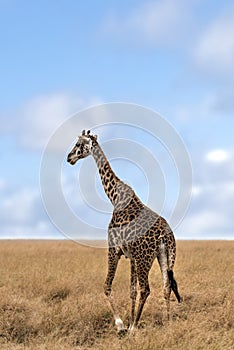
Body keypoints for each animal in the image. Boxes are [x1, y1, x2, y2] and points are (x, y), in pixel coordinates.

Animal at [67, 130, 181, 334]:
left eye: (79, 143)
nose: (69, 157)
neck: (114, 197)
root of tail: (166, 234)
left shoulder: (114, 249)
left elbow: (107, 286)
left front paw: (122, 325)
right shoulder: (132, 256)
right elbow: (131, 291)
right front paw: (128, 321)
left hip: (146, 257)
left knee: (146, 289)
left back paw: (135, 327)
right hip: (164, 255)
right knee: (166, 285)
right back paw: (167, 323)